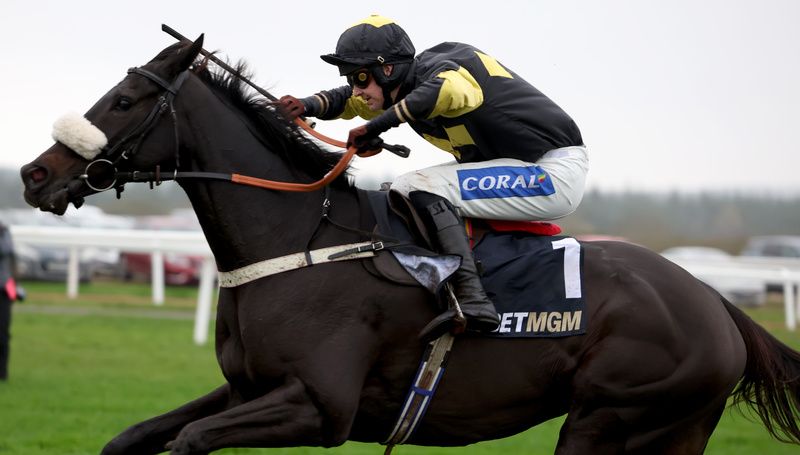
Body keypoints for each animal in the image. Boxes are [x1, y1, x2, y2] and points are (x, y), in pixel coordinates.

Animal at [18, 35, 800, 455]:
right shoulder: (249, 387)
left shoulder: (319, 407)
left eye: (123, 101)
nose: (35, 174)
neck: (300, 242)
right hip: (674, 426)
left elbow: (188, 439)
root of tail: (717, 305)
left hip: (609, 417)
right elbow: (136, 435)